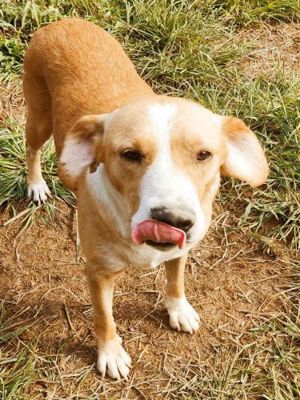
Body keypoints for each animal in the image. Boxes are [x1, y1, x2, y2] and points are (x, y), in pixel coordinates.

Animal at [22, 18, 268, 380]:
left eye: (204, 154)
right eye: (130, 154)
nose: (172, 220)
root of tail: (62, 21)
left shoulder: (182, 250)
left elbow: (176, 281)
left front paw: (179, 308)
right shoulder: (98, 273)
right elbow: (104, 318)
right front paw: (110, 353)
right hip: (38, 118)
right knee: (33, 149)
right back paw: (36, 184)